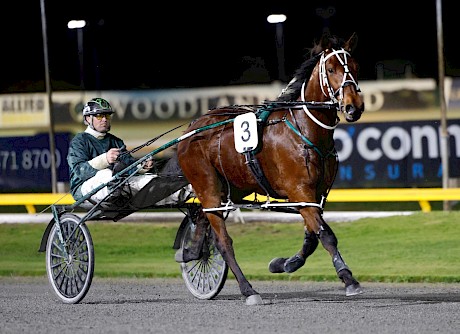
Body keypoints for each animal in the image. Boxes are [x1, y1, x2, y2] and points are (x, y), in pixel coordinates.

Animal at [174, 32, 364, 306]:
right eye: (331, 69)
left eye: (356, 67)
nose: (353, 107)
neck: (305, 130)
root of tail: (191, 128)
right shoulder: (299, 190)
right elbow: (326, 234)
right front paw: (348, 278)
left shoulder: (315, 195)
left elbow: (312, 238)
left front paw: (285, 263)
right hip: (207, 185)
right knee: (223, 240)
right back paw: (248, 289)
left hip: (232, 186)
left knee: (201, 216)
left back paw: (193, 252)